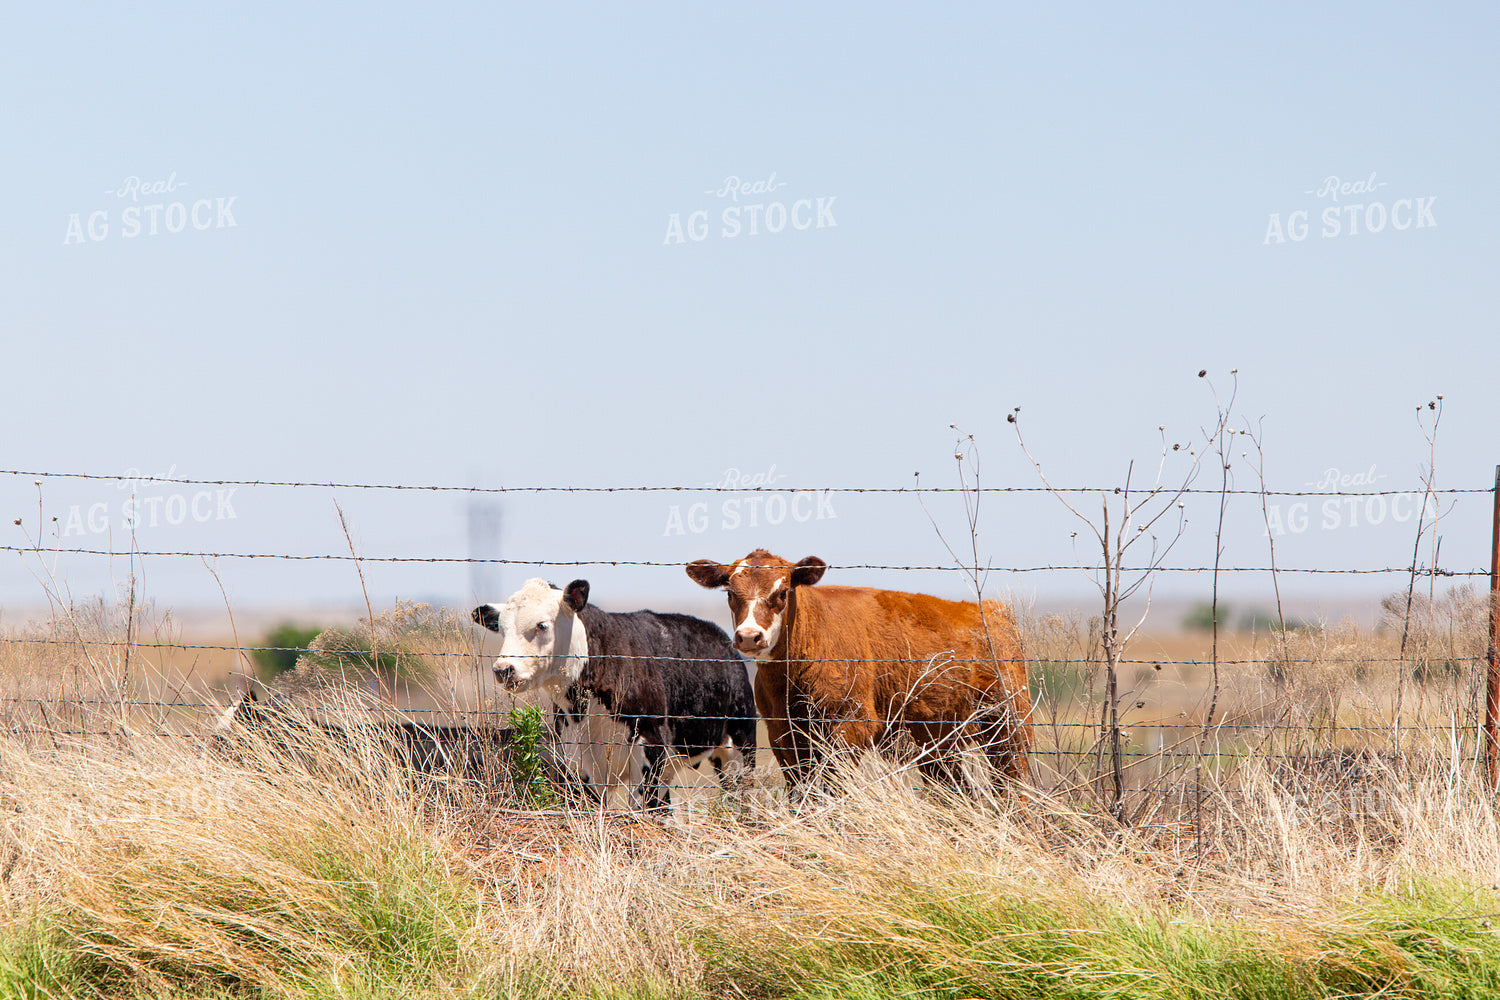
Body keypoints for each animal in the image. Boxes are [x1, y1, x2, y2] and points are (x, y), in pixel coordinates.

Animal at [472, 578, 757, 811]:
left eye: (542, 625)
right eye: (502, 629)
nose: (503, 669)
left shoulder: (651, 751)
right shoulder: (577, 762)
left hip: (740, 747)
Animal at [686, 549, 1032, 791]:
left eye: (782, 593)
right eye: (731, 594)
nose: (748, 636)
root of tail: (990, 610)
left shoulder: (849, 728)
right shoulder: (783, 736)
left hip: (1010, 725)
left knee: (1015, 785)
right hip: (936, 739)